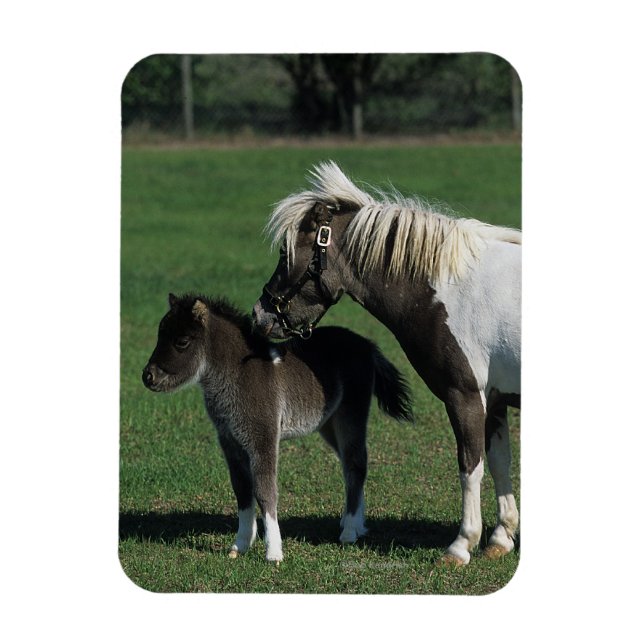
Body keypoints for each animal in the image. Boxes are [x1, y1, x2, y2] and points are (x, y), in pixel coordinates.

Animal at [142, 293, 413, 562]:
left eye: (182, 341)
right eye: (159, 334)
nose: (148, 377)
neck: (237, 373)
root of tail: (366, 344)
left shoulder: (263, 437)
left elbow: (265, 491)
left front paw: (273, 552)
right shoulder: (230, 441)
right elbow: (242, 490)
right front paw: (240, 545)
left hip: (351, 414)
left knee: (356, 464)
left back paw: (349, 532)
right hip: (328, 423)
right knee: (350, 464)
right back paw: (354, 524)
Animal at [253, 161, 521, 565]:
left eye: (287, 254)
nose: (260, 314)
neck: (449, 289)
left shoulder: (465, 396)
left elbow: (469, 467)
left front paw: (461, 545)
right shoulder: (495, 399)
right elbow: (500, 462)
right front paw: (501, 539)